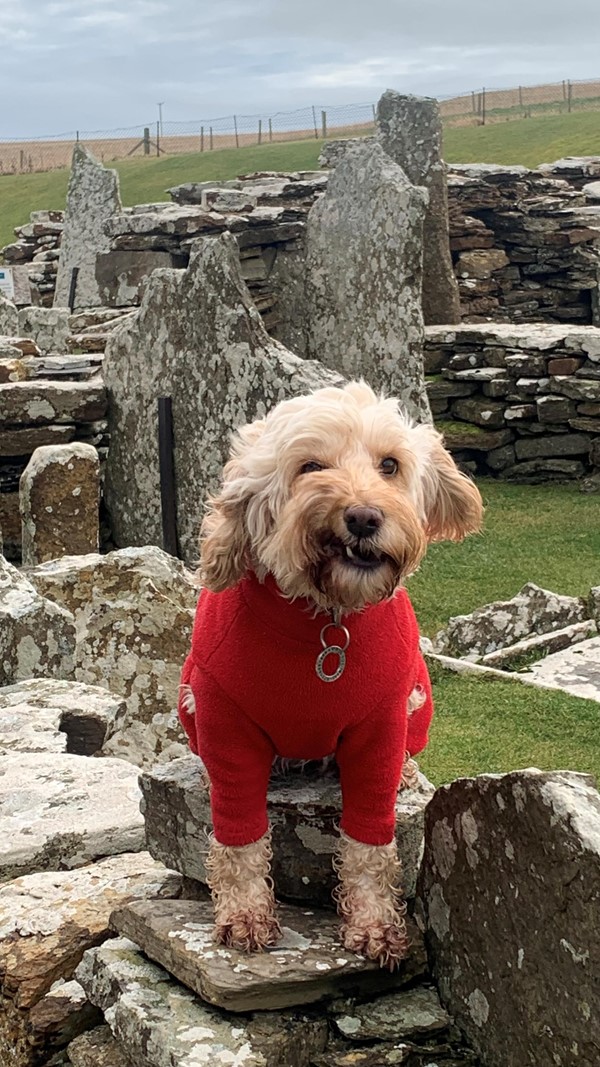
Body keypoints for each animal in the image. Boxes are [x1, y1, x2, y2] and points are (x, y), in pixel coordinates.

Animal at [177, 381, 480, 968]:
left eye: (390, 465)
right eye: (311, 466)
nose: (363, 517)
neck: (325, 622)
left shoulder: (380, 726)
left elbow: (370, 839)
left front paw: (374, 923)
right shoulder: (224, 718)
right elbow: (239, 834)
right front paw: (244, 914)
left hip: (418, 698)